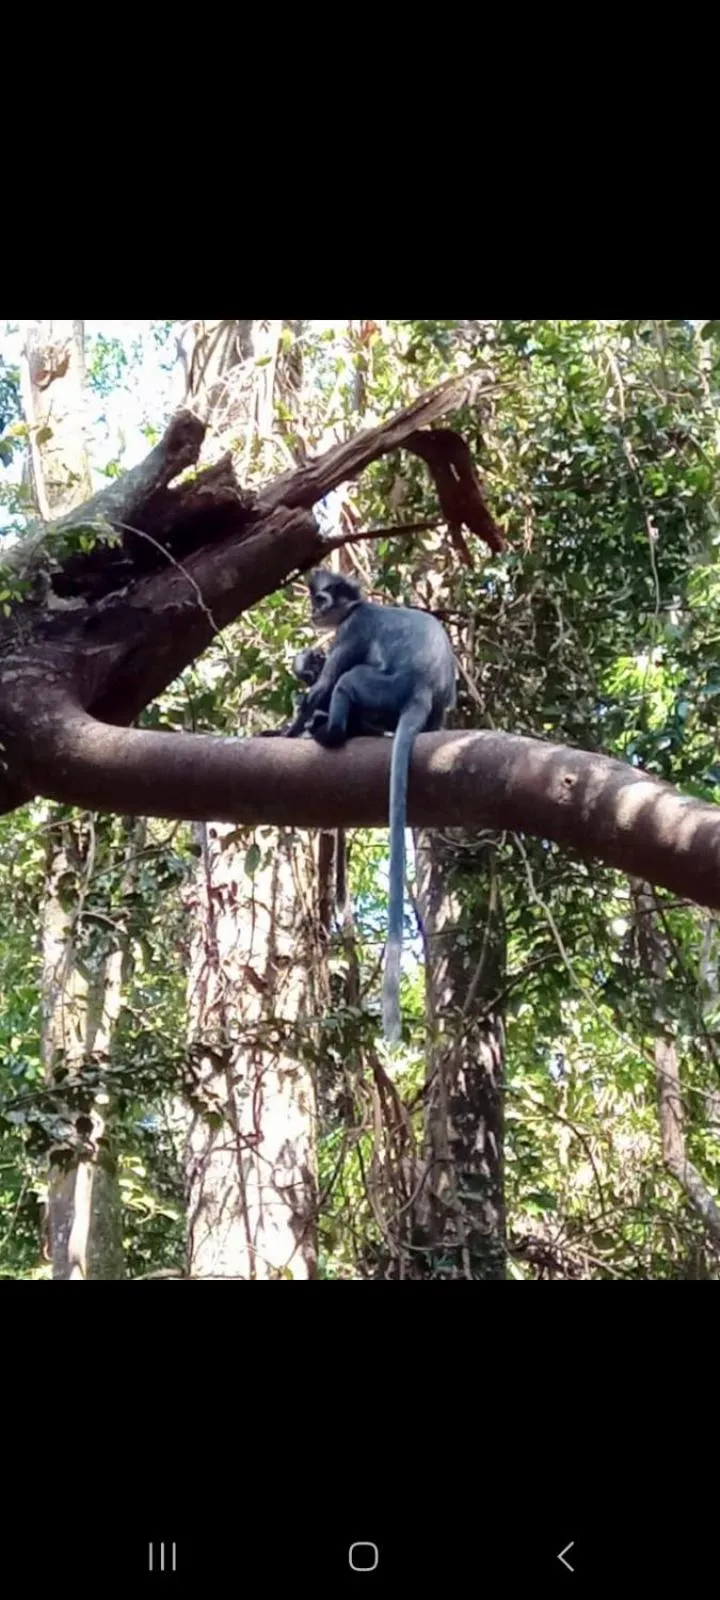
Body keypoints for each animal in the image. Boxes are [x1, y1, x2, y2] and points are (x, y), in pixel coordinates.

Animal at [291, 567, 456, 1041]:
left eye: (322, 598)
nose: (313, 611)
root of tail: (423, 689)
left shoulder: (353, 629)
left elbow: (325, 686)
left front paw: (283, 731)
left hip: (384, 688)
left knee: (349, 681)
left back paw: (331, 732)